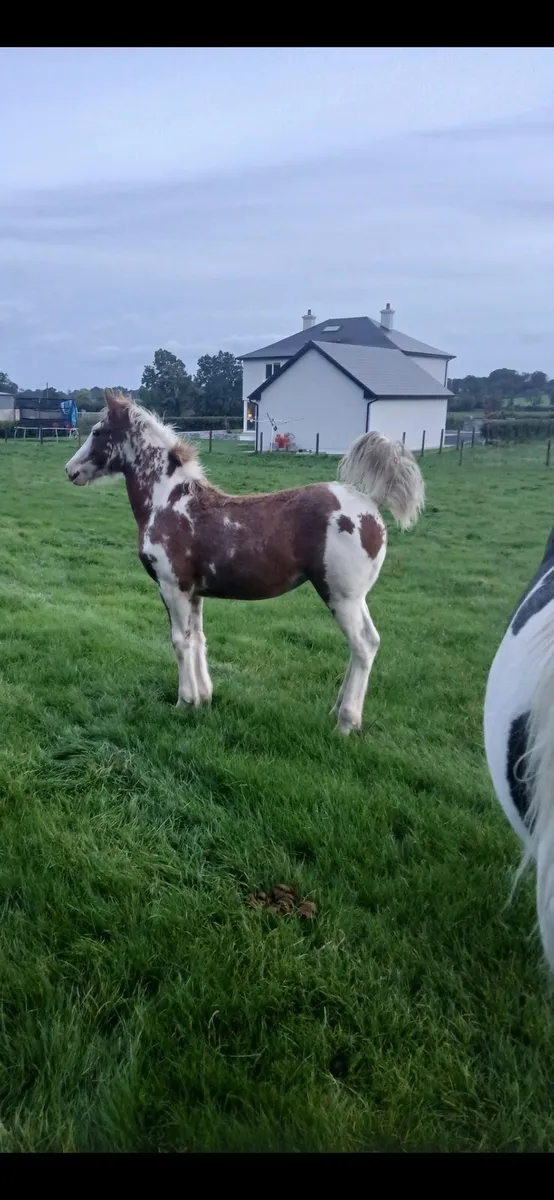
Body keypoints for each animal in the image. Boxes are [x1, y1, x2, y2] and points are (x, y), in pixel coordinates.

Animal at [65, 390, 425, 734]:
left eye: (97, 432)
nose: (71, 471)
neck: (168, 502)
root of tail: (371, 503)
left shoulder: (172, 587)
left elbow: (180, 642)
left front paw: (184, 702)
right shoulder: (194, 593)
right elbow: (198, 639)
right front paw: (204, 698)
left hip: (341, 596)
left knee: (362, 646)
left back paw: (346, 723)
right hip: (355, 597)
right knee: (369, 642)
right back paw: (337, 711)